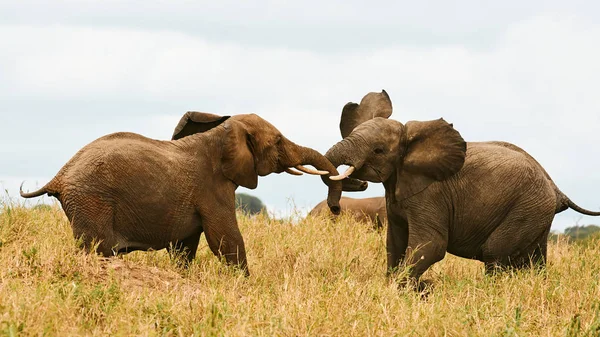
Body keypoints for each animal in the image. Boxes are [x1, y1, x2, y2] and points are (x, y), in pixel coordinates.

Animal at [18, 111, 364, 274]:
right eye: (278, 142)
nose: (336, 209)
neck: (221, 134)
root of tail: (59, 176)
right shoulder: (212, 187)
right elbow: (225, 238)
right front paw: (245, 284)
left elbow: (186, 246)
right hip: (92, 200)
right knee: (97, 249)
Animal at [324, 89, 600, 284]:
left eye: (378, 150)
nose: (336, 208)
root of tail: (556, 189)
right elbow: (394, 243)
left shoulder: (430, 195)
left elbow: (430, 245)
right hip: (537, 212)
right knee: (535, 258)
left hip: (527, 208)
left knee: (495, 253)